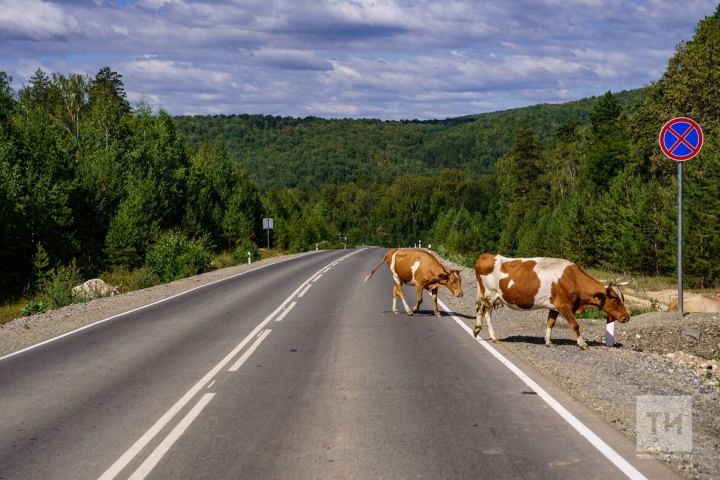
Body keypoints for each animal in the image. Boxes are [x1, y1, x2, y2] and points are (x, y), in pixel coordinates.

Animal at [476, 255, 628, 348]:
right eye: (614, 300)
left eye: (623, 298)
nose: (626, 317)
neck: (573, 279)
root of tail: (487, 256)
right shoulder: (565, 306)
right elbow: (575, 325)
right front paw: (582, 343)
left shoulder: (555, 306)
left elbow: (550, 323)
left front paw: (548, 341)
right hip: (489, 294)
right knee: (483, 312)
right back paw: (483, 332)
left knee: (485, 313)